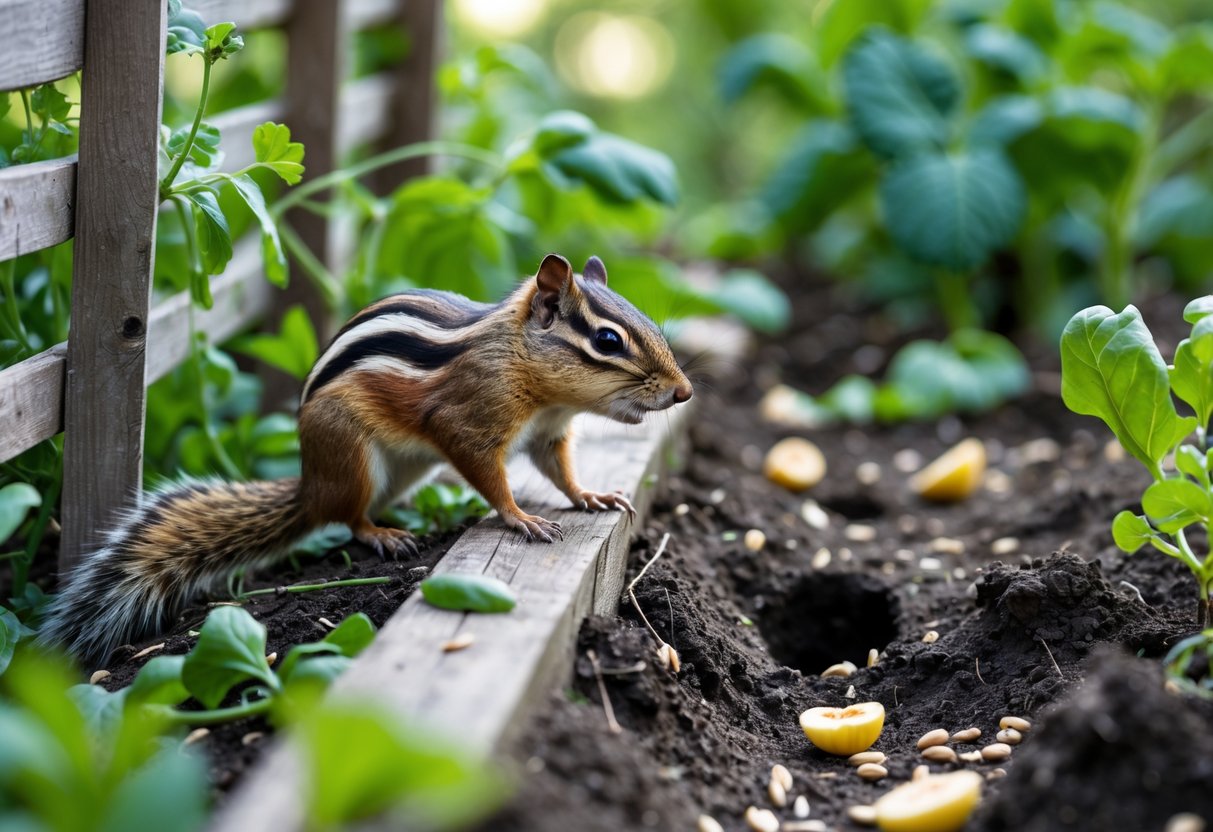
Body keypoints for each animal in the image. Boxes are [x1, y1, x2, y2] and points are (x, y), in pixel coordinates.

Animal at [39, 254, 693, 666]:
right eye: (607, 341)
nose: (684, 393)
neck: (531, 374)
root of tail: (309, 484)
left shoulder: (548, 435)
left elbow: (561, 471)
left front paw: (591, 496)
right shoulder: (468, 421)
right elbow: (488, 474)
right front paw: (519, 518)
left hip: (403, 471)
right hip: (353, 455)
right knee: (348, 518)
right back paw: (382, 534)